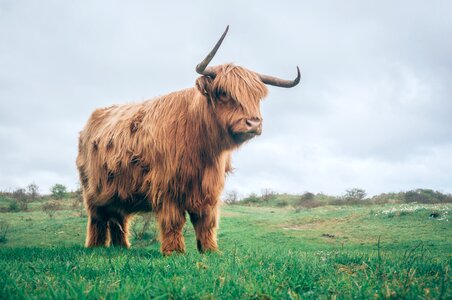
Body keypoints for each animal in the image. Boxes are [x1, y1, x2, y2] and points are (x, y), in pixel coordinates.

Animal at [77, 27, 300, 254]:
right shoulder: (167, 186)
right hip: (93, 190)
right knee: (97, 218)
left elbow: (206, 222)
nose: (253, 123)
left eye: (256, 97)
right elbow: (174, 221)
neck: (203, 147)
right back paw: (95, 247)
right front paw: (174, 252)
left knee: (118, 218)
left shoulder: (209, 189)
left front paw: (210, 250)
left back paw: (121, 247)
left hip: (117, 191)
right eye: (223, 93)